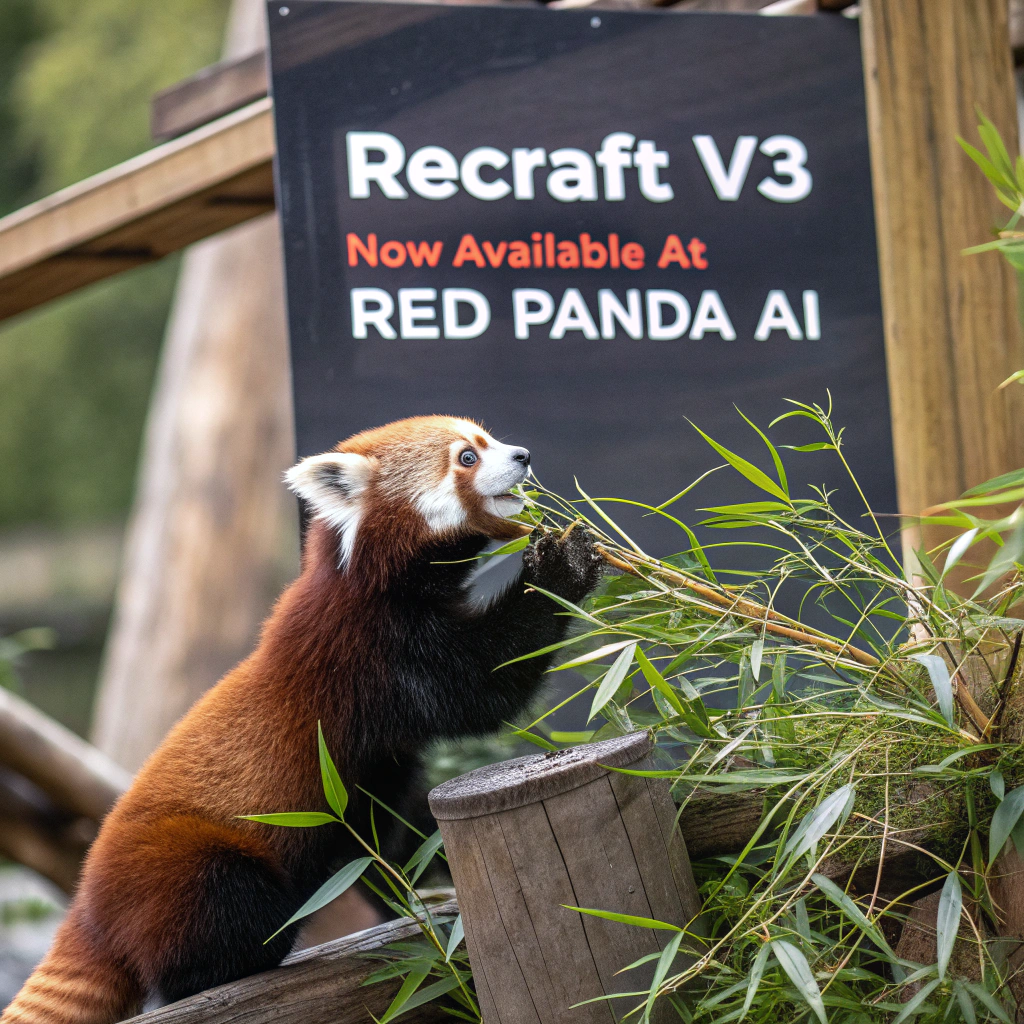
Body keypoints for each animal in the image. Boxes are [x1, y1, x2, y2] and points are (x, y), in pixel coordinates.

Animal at [4, 415, 604, 1024]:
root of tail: (87, 911)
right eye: (467, 457)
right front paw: (562, 565)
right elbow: (482, 685)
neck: (372, 579)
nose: (523, 455)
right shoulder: (369, 651)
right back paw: (250, 955)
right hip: (184, 868)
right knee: (220, 913)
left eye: (489, 440)